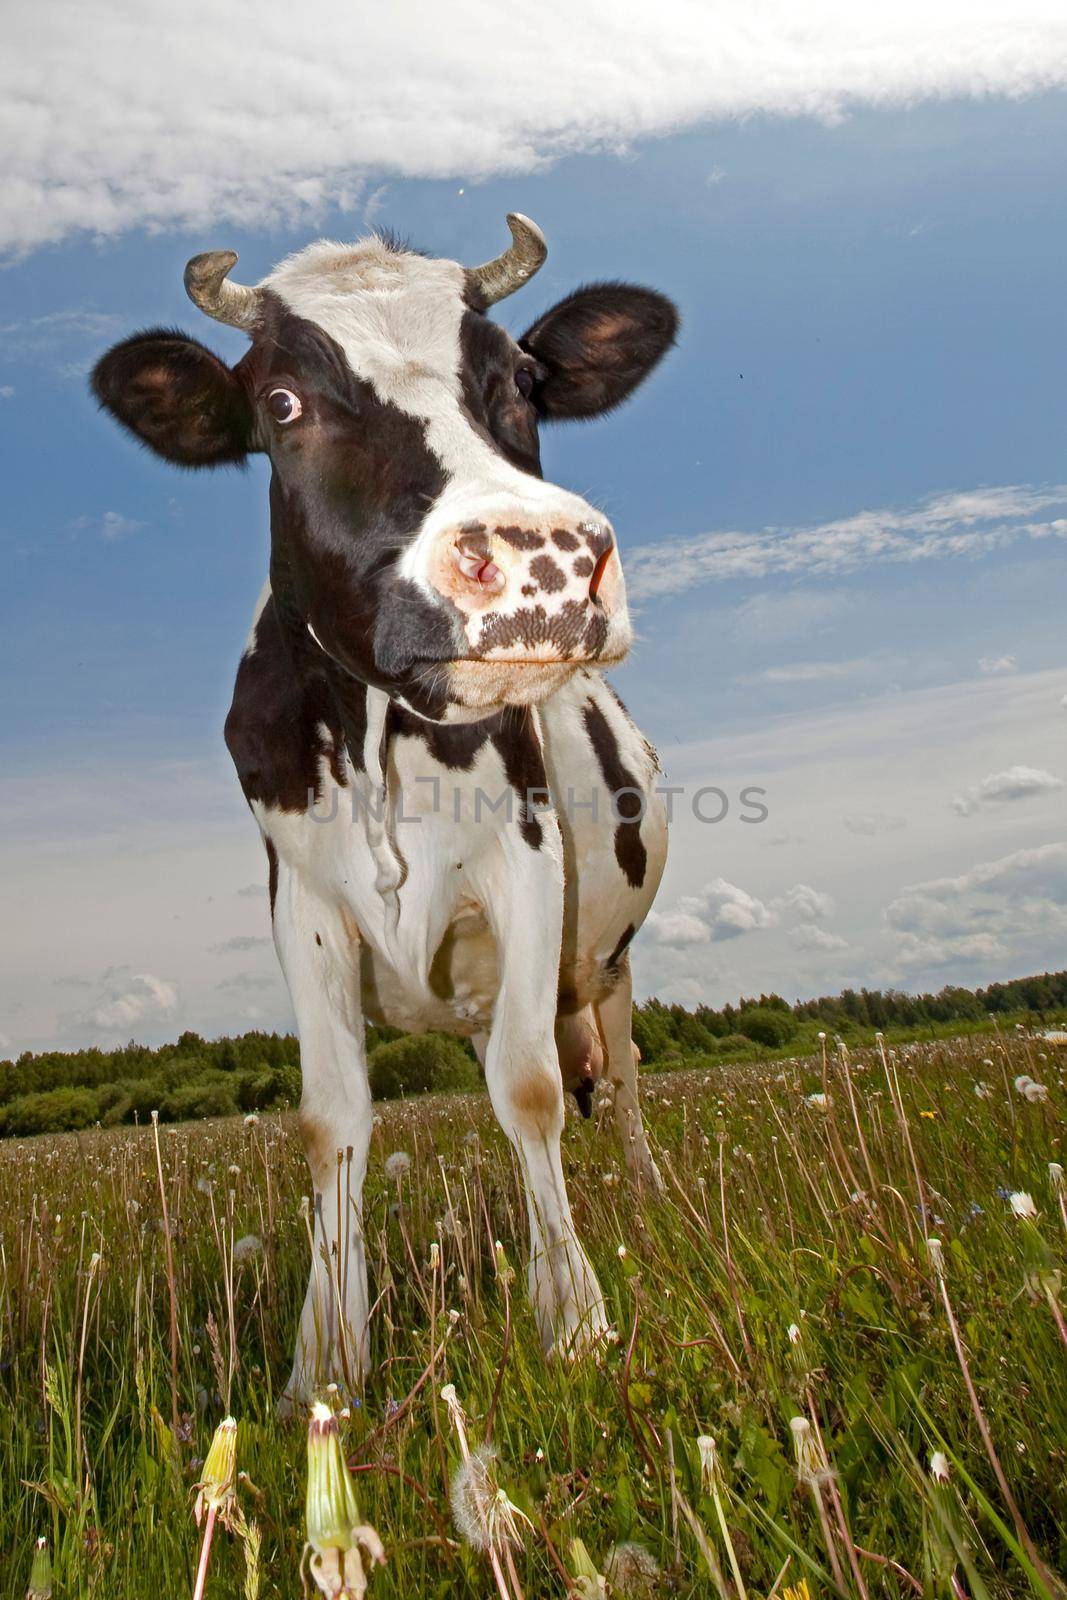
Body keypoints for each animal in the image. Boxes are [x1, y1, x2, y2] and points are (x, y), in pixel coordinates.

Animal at [91, 219, 675, 1408]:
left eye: (521, 380)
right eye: (281, 402)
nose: (544, 561)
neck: (374, 733)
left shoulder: (525, 861)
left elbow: (531, 1090)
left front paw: (573, 1320)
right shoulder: (302, 898)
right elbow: (333, 1121)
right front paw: (325, 1364)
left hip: (610, 961)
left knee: (622, 1074)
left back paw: (640, 1195)